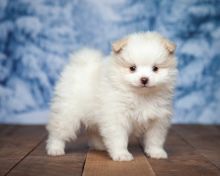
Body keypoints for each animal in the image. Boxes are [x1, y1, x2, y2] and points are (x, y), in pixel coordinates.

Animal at [46, 31, 177, 161]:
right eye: (132, 68)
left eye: (155, 68)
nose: (144, 79)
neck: (141, 96)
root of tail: (79, 65)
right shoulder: (116, 117)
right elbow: (119, 138)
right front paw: (122, 154)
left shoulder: (158, 119)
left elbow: (155, 139)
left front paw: (156, 152)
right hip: (68, 113)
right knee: (58, 132)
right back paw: (55, 149)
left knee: (94, 131)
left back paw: (100, 146)